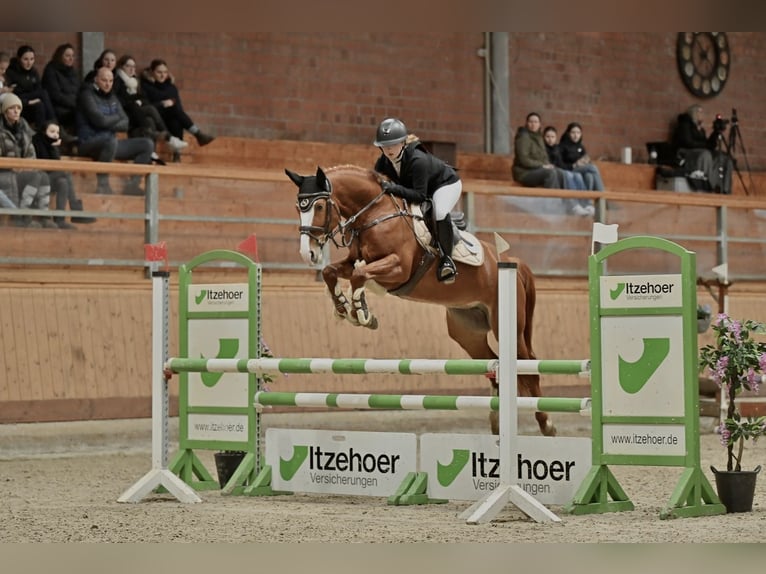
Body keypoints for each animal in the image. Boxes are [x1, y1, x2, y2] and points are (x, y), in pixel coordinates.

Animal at [284, 164, 556, 434]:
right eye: (298, 207)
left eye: (319, 207)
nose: (308, 253)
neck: (374, 214)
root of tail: (511, 262)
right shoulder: (354, 261)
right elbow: (333, 272)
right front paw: (343, 306)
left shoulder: (399, 268)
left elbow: (360, 275)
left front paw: (362, 313)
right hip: (467, 331)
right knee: (494, 363)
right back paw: (497, 422)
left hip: (507, 326)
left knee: (528, 367)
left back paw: (547, 424)